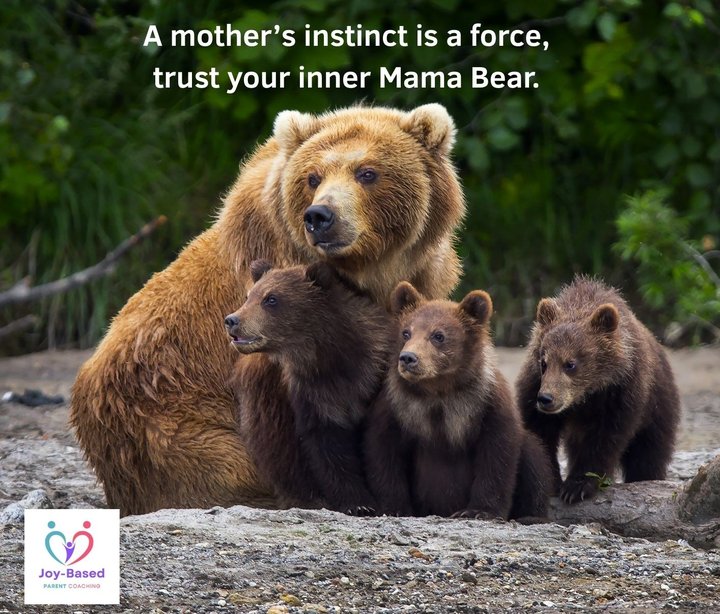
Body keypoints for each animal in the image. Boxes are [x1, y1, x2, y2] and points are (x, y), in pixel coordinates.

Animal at [225, 259, 391, 515]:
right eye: (248, 296)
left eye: (271, 299)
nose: (232, 320)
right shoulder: (313, 395)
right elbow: (328, 449)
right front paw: (357, 503)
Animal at [364, 281, 552, 520]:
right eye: (406, 332)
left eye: (438, 335)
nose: (408, 358)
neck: (438, 390)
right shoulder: (397, 406)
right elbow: (383, 451)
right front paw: (395, 507)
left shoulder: (486, 403)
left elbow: (497, 455)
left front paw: (479, 510)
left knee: (533, 455)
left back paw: (531, 515)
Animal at [515, 276, 681, 504]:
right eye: (544, 362)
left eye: (570, 364)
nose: (546, 399)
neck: (587, 394)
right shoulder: (534, 385)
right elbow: (540, 432)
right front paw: (552, 481)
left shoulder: (621, 392)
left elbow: (605, 439)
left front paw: (577, 486)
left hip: (658, 405)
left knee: (649, 452)